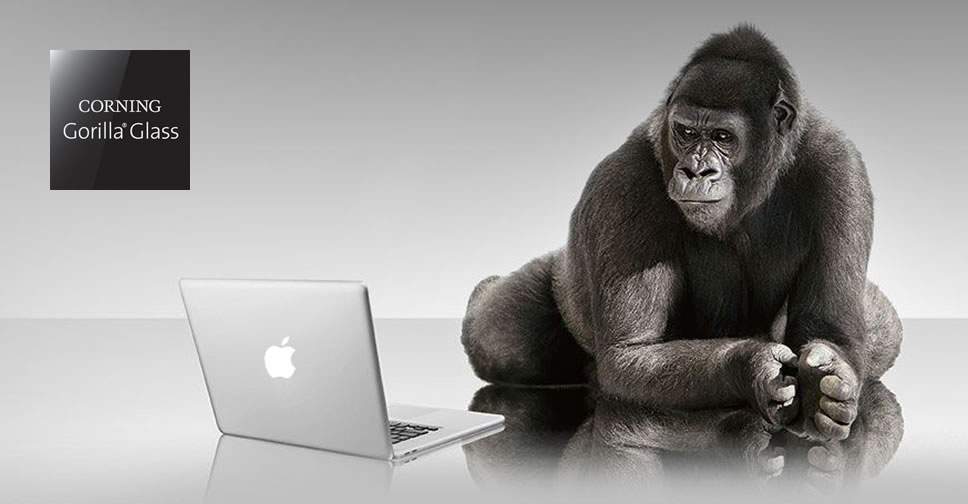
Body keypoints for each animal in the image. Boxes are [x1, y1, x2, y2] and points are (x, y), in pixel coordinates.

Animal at [460, 25, 903, 443]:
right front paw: (753, 368)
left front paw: (827, 383)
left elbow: (829, 329)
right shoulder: (622, 183)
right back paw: (487, 297)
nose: (695, 170)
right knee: (503, 337)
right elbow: (632, 355)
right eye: (687, 132)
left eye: (723, 137)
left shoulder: (841, 168)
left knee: (883, 329)